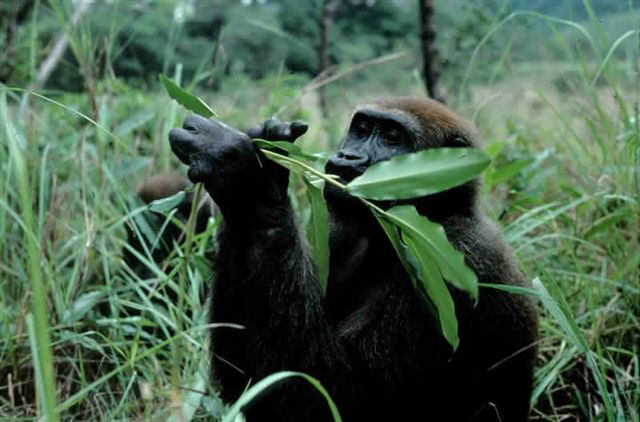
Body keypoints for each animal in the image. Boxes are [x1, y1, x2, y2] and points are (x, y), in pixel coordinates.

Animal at [167, 96, 539, 421]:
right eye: (361, 128)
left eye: (391, 138)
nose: (347, 155)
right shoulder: (338, 234)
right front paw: (269, 148)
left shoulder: (456, 261)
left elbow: (334, 400)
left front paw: (249, 179)